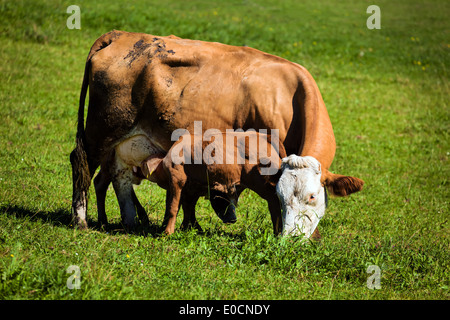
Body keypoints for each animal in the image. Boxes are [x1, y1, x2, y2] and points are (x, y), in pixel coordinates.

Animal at [71, 30, 366, 236]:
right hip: (101, 132)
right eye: (283, 197)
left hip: (124, 145)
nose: (292, 238)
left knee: (116, 178)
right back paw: (81, 220)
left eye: (312, 197)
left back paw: (126, 221)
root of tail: (120, 35)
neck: (287, 95)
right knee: (81, 162)